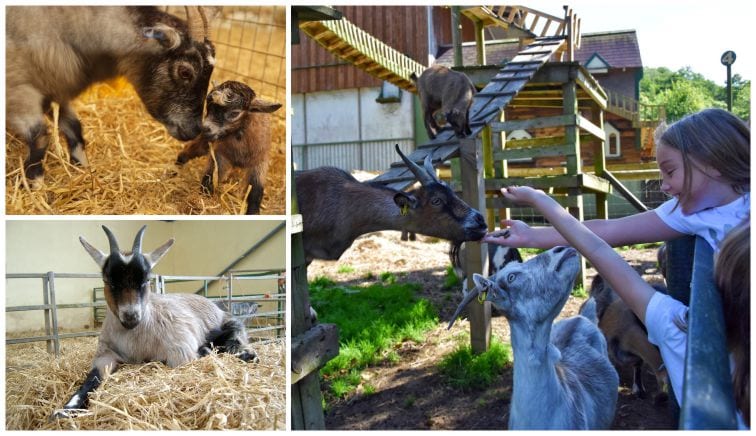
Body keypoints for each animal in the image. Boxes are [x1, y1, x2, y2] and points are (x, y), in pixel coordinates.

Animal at [7, 7, 216, 183]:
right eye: (185, 72)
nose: (195, 130)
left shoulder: (54, 89)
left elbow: (75, 128)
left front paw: (83, 170)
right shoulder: (19, 88)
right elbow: (40, 138)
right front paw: (36, 187)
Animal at [53, 225, 255, 418]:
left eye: (146, 280)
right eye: (108, 281)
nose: (131, 316)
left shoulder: (181, 351)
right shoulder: (105, 354)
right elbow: (92, 377)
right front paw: (65, 409)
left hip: (227, 323)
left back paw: (247, 354)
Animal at [176, 81, 280, 215]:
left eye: (235, 113)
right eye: (208, 106)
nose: (205, 128)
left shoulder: (260, 162)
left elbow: (255, 190)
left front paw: (252, 212)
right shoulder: (219, 155)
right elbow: (209, 178)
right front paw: (203, 201)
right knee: (191, 150)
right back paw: (176, 167)